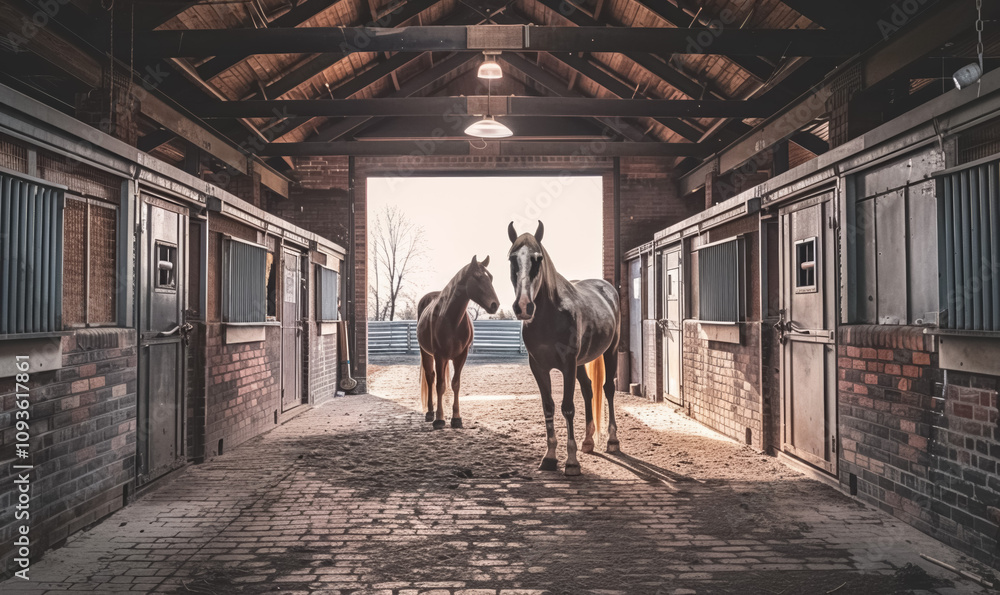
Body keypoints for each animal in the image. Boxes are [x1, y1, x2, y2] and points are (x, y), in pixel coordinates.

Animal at [417, 255, 500, 430]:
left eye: (490, 277)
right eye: (477, 276)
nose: (494, 305)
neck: (451, 320)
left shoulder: (461, 355)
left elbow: (455, 384)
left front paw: (456, 418)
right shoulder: (440, 356)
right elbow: (440, 385)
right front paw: (439, 419)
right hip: (426, 352)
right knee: (430, 378)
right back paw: (430, 413)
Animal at [507, 221, 621, 476]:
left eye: (538, 259)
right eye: (511, 258)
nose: (523, 306)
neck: (549, 316)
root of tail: (607, 288)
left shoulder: (568, 364)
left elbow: (567, 407)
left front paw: (571, 462)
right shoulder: (538, 367)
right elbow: (548, 406)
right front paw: (549, 457)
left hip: (611, 351)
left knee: (608, 389)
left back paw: (612, 441)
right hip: (580, 363)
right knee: (588, 389)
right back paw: (588, 442)